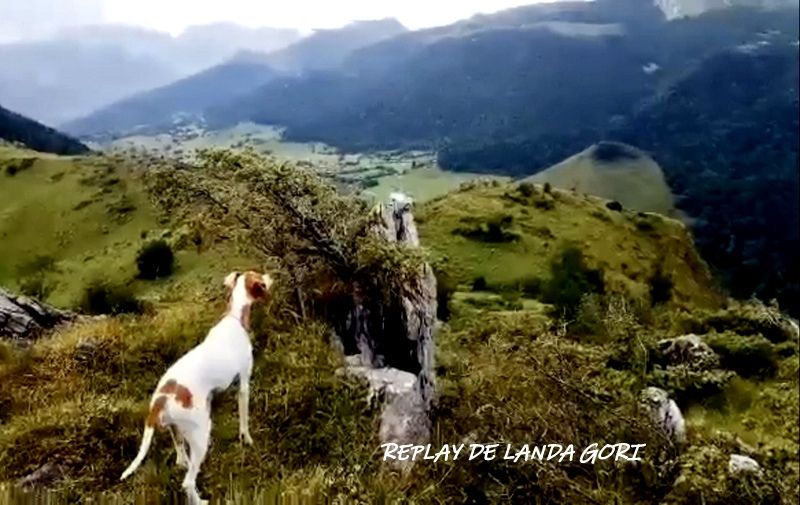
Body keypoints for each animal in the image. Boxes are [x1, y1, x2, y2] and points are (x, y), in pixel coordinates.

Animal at [120, 272, 272, 504]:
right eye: (260, 277)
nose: (270, 276)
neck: (234, 317)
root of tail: (160, 399)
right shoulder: (244, 384)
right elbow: (244, 422)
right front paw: (247, 440)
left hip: (177, 430)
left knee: (181, 458)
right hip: (201, 434)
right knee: (188, 482)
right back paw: (200, 500)